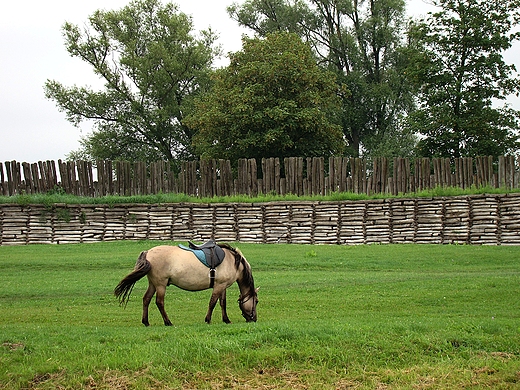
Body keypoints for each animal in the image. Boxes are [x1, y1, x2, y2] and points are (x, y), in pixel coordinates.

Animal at [115, 242, 258, 324]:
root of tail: (148, 252)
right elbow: (212, 303)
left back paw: (146, 322)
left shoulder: (222, 286)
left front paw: (226, 320)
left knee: (146, 299)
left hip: (153, 284)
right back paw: (168, 322)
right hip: (160, 284)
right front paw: (208, 320)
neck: (234, 262)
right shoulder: (219, 285)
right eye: (256, 301)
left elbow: (222, 303)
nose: (254, 319)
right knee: (159, 302)